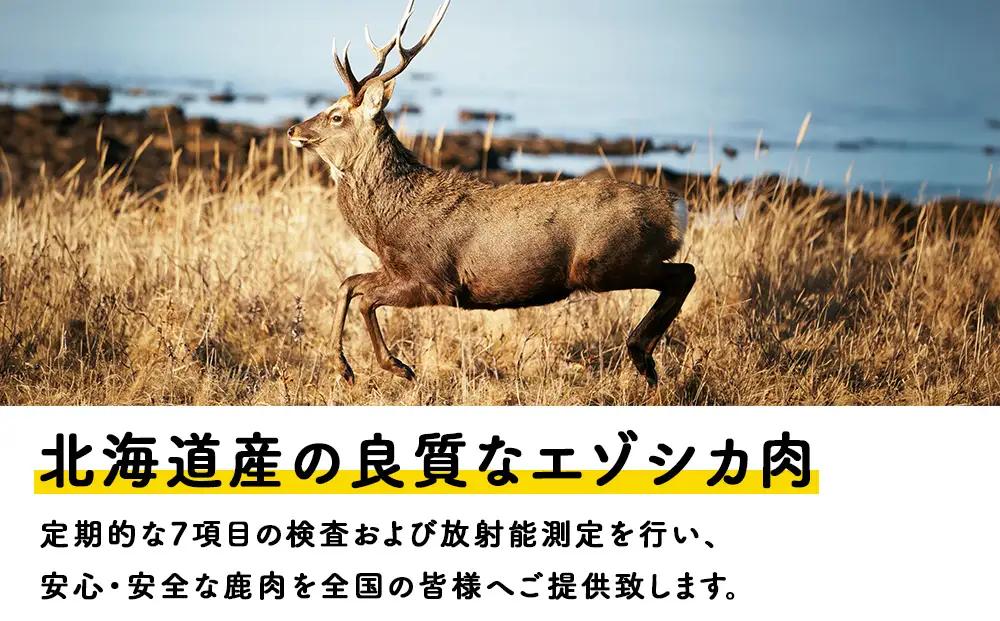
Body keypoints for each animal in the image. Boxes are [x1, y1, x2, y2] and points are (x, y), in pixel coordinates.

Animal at [287, 0, 695, 388]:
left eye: (336, 115)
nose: (293, 129)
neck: (387, 223)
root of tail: (676, 208)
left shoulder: (433, 280)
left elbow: (366, 298)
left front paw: (398, 366)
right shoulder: (395, 270)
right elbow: (349, 284)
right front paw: (344, 369)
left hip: (606, 261)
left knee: (684, 273)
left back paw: (641, 355)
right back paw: (645, 360)